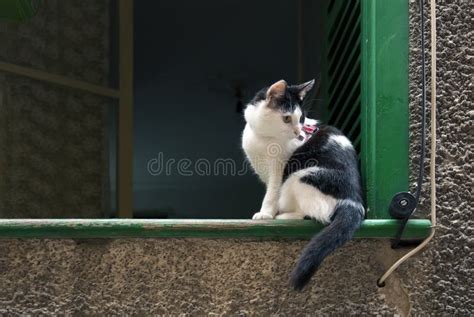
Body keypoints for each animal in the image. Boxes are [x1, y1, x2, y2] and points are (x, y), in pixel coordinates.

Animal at [243, 78, 364, 288]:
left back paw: (282, 217)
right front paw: (269, 211)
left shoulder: (279, 168)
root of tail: (353, 202)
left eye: (301, 118)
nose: (299, 133)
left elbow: (272, 193)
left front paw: (266, 214)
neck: (263, 137)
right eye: (286, 118)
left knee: (311, 214)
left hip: (301, 175)